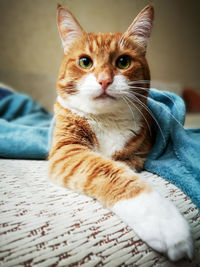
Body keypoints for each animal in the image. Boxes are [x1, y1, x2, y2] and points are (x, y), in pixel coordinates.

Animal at [47, 4, 193, 262]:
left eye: (123, 62)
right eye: (85, 62)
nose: (104, 80)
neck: (106, 120)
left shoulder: (140, 152)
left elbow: (124, 164)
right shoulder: (66, 150)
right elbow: (109, 171)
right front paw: (166, 223)